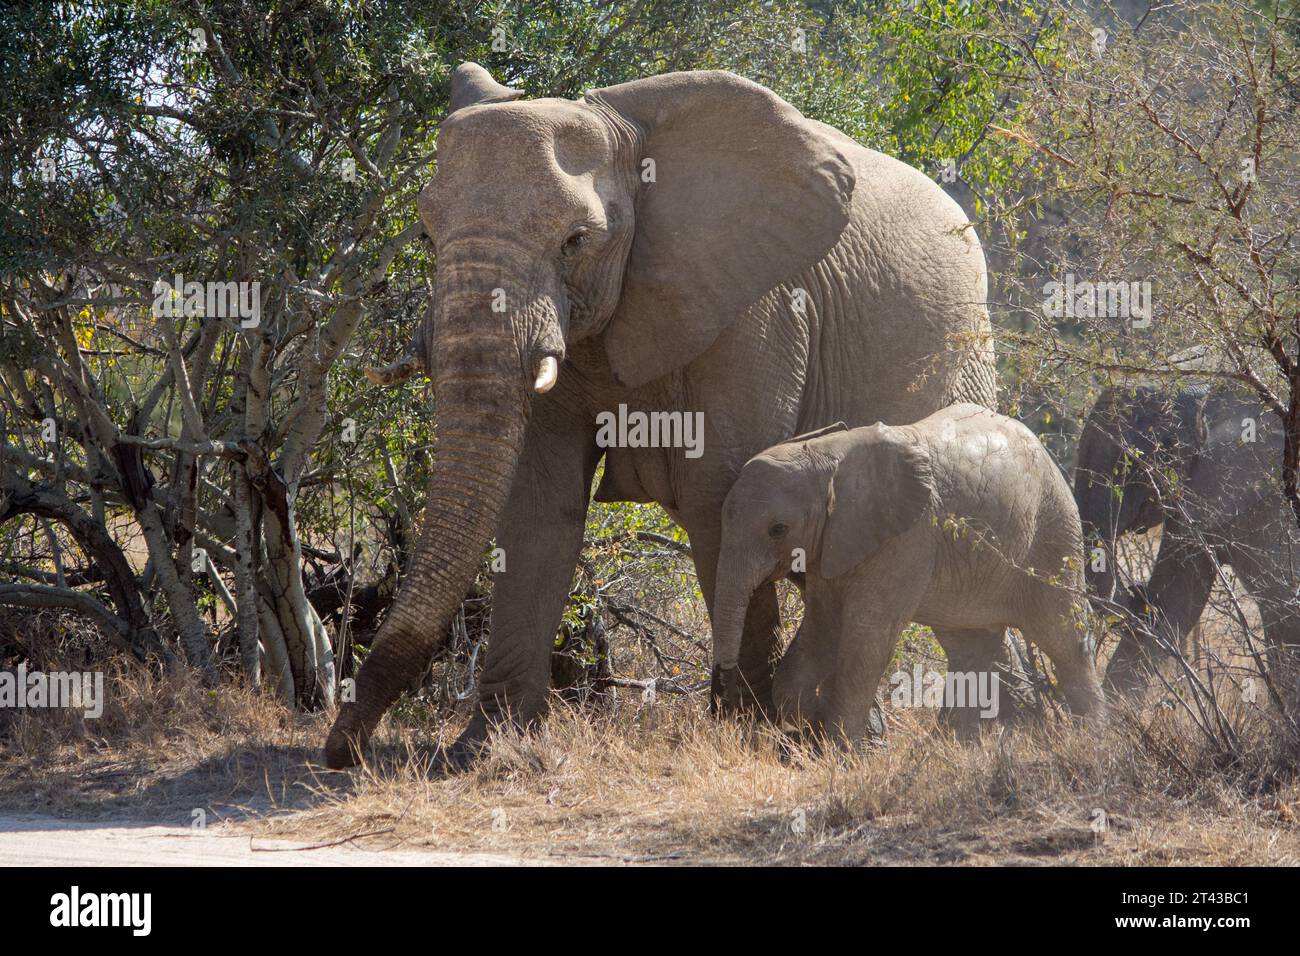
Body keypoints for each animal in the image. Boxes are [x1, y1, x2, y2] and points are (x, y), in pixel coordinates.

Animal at [322, 65, 993, 770]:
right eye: (425, 235)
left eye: (575, 241)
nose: (342, 749)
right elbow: (539, 503)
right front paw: (487, 748)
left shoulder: (758, 310)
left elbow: (718, 494)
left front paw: (744, 735)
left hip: (963, 350)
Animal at [712, 403, 1107, 749]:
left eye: (778, 529)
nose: (724, 693)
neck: (828, 456)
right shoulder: (831, 544)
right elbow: (821, 628)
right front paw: (814, 723)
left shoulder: (906, 539)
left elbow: (866, 641)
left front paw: (841, 752)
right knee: (970, 646)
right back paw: (951, 749)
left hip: (1054, 530)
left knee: (1063, 636)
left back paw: (1093, 737)